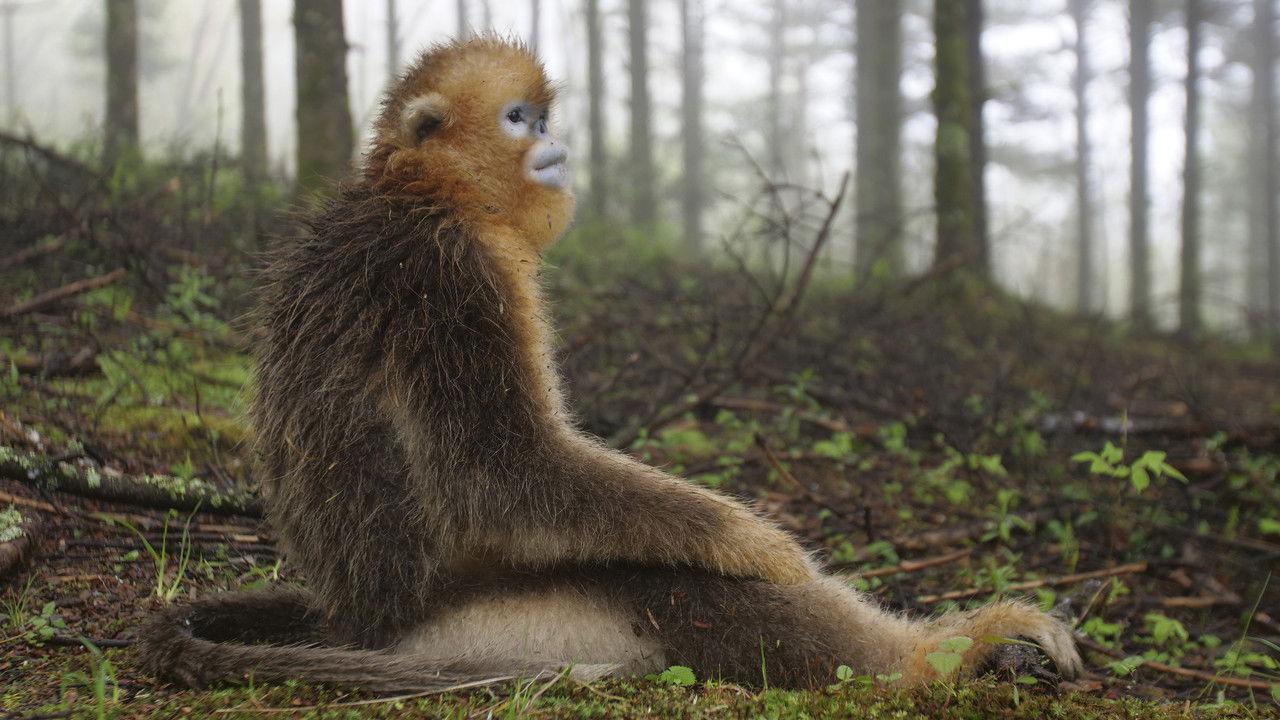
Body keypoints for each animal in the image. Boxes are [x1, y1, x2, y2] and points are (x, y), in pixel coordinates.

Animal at [138, 36, 1082, 692]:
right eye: (519, 118)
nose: (555, 142)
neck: (424, 193)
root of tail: (363, 620)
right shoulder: (452, 277)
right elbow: (503, 471)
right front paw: (760, 543)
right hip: (504, 615)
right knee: (674, 580)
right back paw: (945, 654)